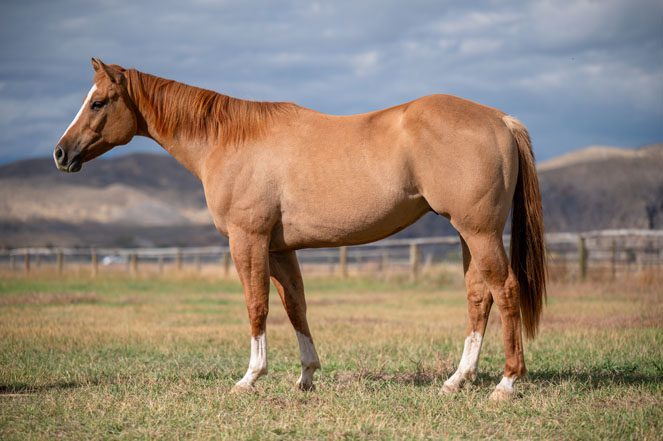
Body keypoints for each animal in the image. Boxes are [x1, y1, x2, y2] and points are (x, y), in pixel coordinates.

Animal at [54, 58, 546, 400]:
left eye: (98, 102)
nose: (61, 153)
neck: (229, 139)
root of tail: (500, 119)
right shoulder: (279, 248)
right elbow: (296, 307)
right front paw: (306, 375)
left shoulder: (248, 240)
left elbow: (257, 306)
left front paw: (250, 377)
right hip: (468, 234)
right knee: (479, 296)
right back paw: (456, 380)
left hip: (479, 232)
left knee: (504, 289)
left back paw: (506, 383)